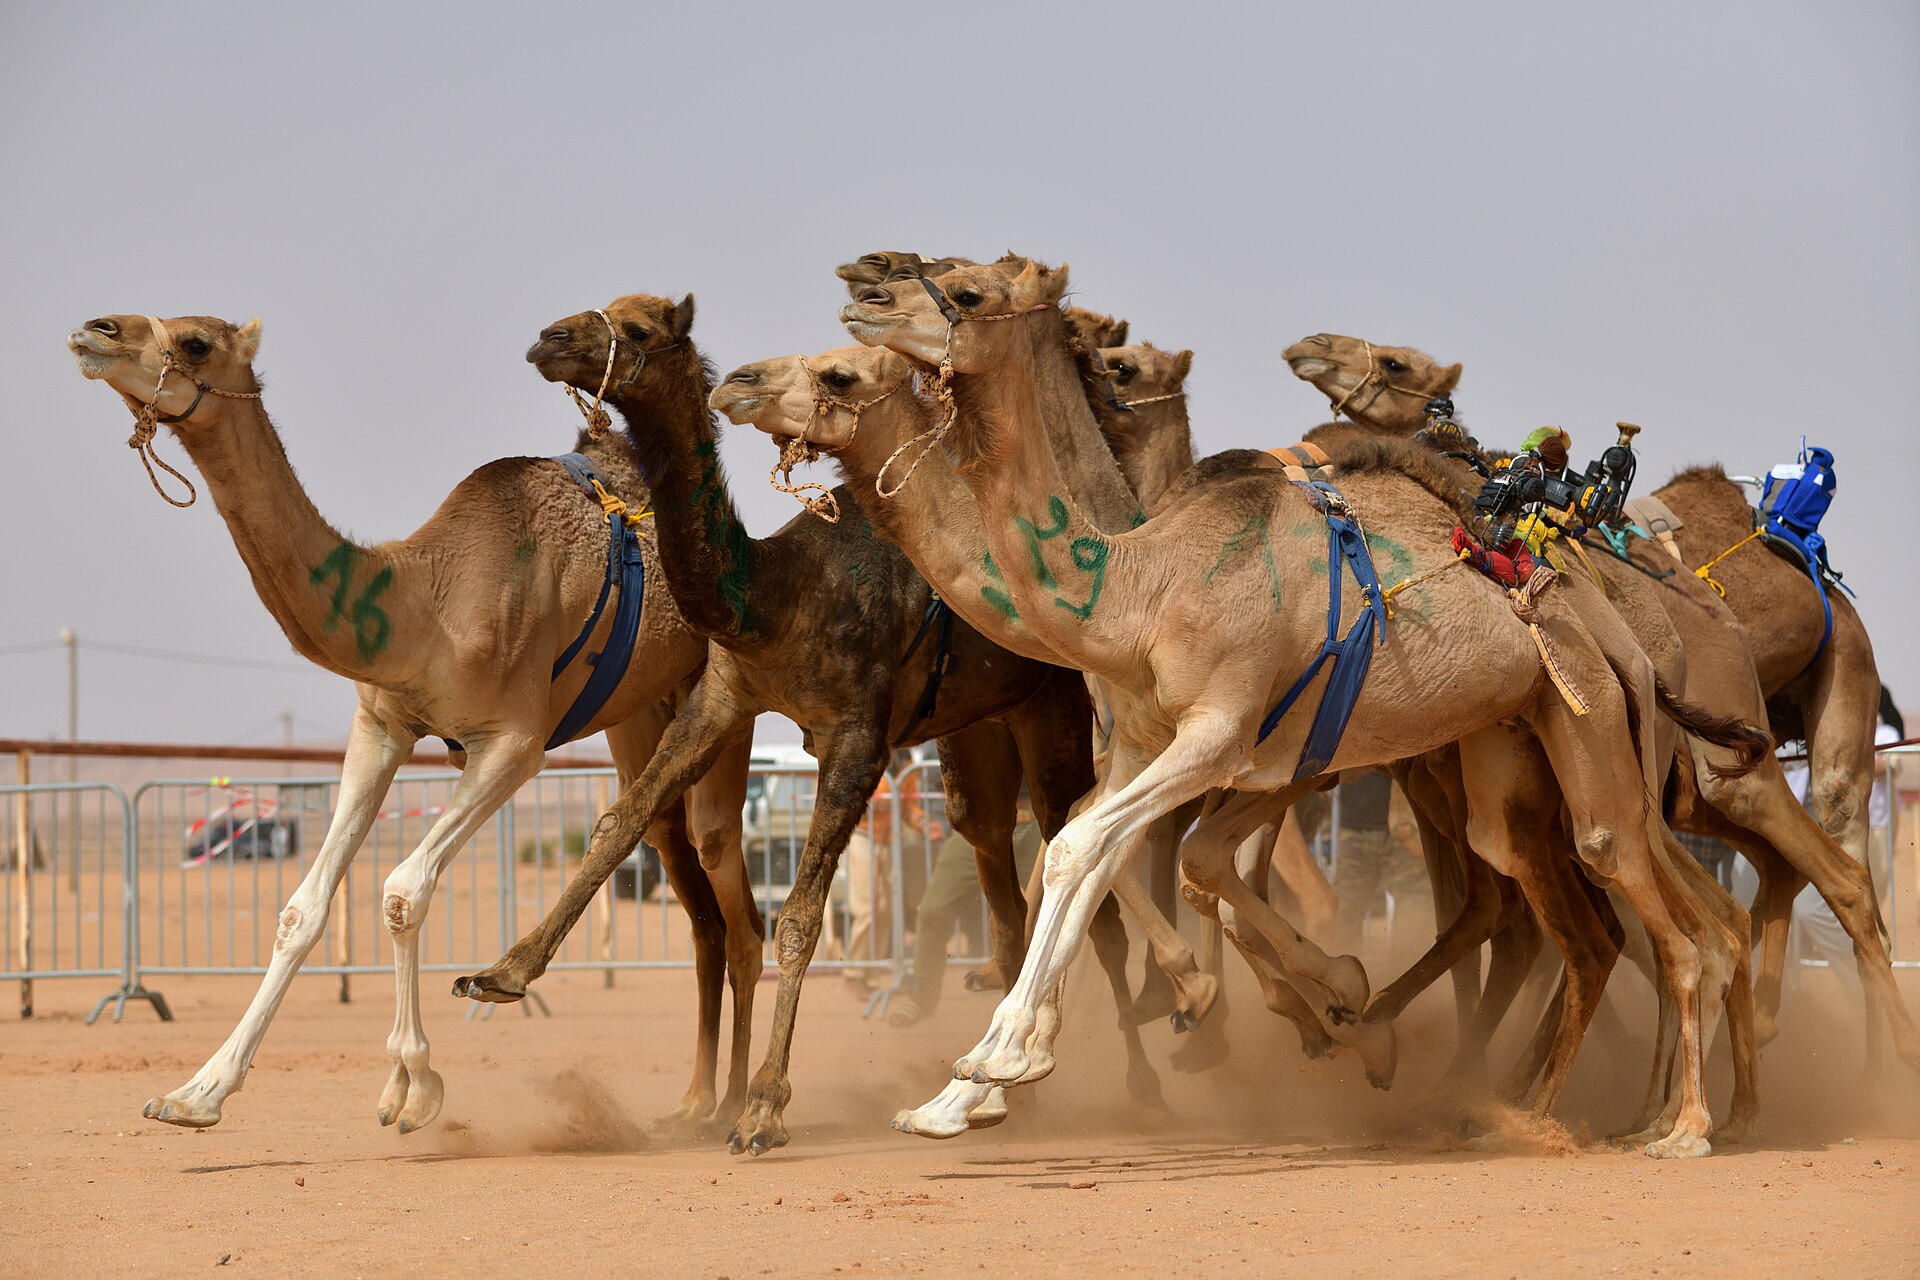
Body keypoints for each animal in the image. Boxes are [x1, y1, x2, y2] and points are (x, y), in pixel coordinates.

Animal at [67, 313, 752, 1133]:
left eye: (196, 341)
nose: (96, 330)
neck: (425, 600)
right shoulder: (382, 725)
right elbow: (302, 910)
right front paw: (195, 1094)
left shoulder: (515, 744)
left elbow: (402, 891)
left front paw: (415, 1085)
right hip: (638, 712)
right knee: (688, 886)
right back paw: (695, 1102)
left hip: (720, 683)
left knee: (726, 876)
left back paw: (739, 1105)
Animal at [449, 293, 1182, 1154]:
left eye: (637, 329)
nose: (549, 338)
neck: (779, 595)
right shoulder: (722, 698)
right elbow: (619, 821)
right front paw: (500, 973)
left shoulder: (856, 739)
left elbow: (801, 916)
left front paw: (764, 1108)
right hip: (975, 730)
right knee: (998, 881)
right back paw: (997, 1101)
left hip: (1054, 703)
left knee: (1086, 865)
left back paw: (1140, 1085)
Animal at [820, 258, 1735, 1155]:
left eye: (965, 290)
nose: (864, 293)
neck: (1141, 586)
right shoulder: (1169, 745)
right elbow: (1118, 850)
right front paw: (964, 1091)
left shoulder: (1226, 734)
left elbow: (1089, 848)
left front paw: (1000, 1060)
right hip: (1516, 741)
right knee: (1589, 907)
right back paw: (1550, 1100)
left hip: (1588, 710)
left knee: (1648, 905)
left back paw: (1671, 1122)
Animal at [1284, 334, 1920, 1081]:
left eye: (1394, 363)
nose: (1309, 348)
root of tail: (1817, 578)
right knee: (1787, 870)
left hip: (1817, 692)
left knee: (1840, 868)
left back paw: (1880, 1063)